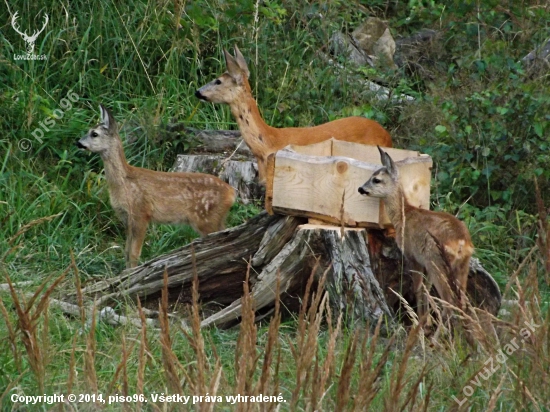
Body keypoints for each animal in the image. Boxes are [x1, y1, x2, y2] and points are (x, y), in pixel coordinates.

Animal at [76, 104, 236, 268]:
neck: (123, 183)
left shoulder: (141, 212)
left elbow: (133, 254)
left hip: (206, 218)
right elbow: (126, 252)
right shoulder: (126, 218)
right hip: (216, 218)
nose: (78, 143)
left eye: (94, 134)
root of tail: (232, 192)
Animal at [358, 148, 474, 322]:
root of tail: (461, 241)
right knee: (463, 302)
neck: (403, 216)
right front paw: (426, 319)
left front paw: (420, 322)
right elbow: (426, 290)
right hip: (461, 264)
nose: (360, 188)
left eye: (376, 179)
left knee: (449, 302)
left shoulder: (412, 255)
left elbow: (418, 289)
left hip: (436, 261)